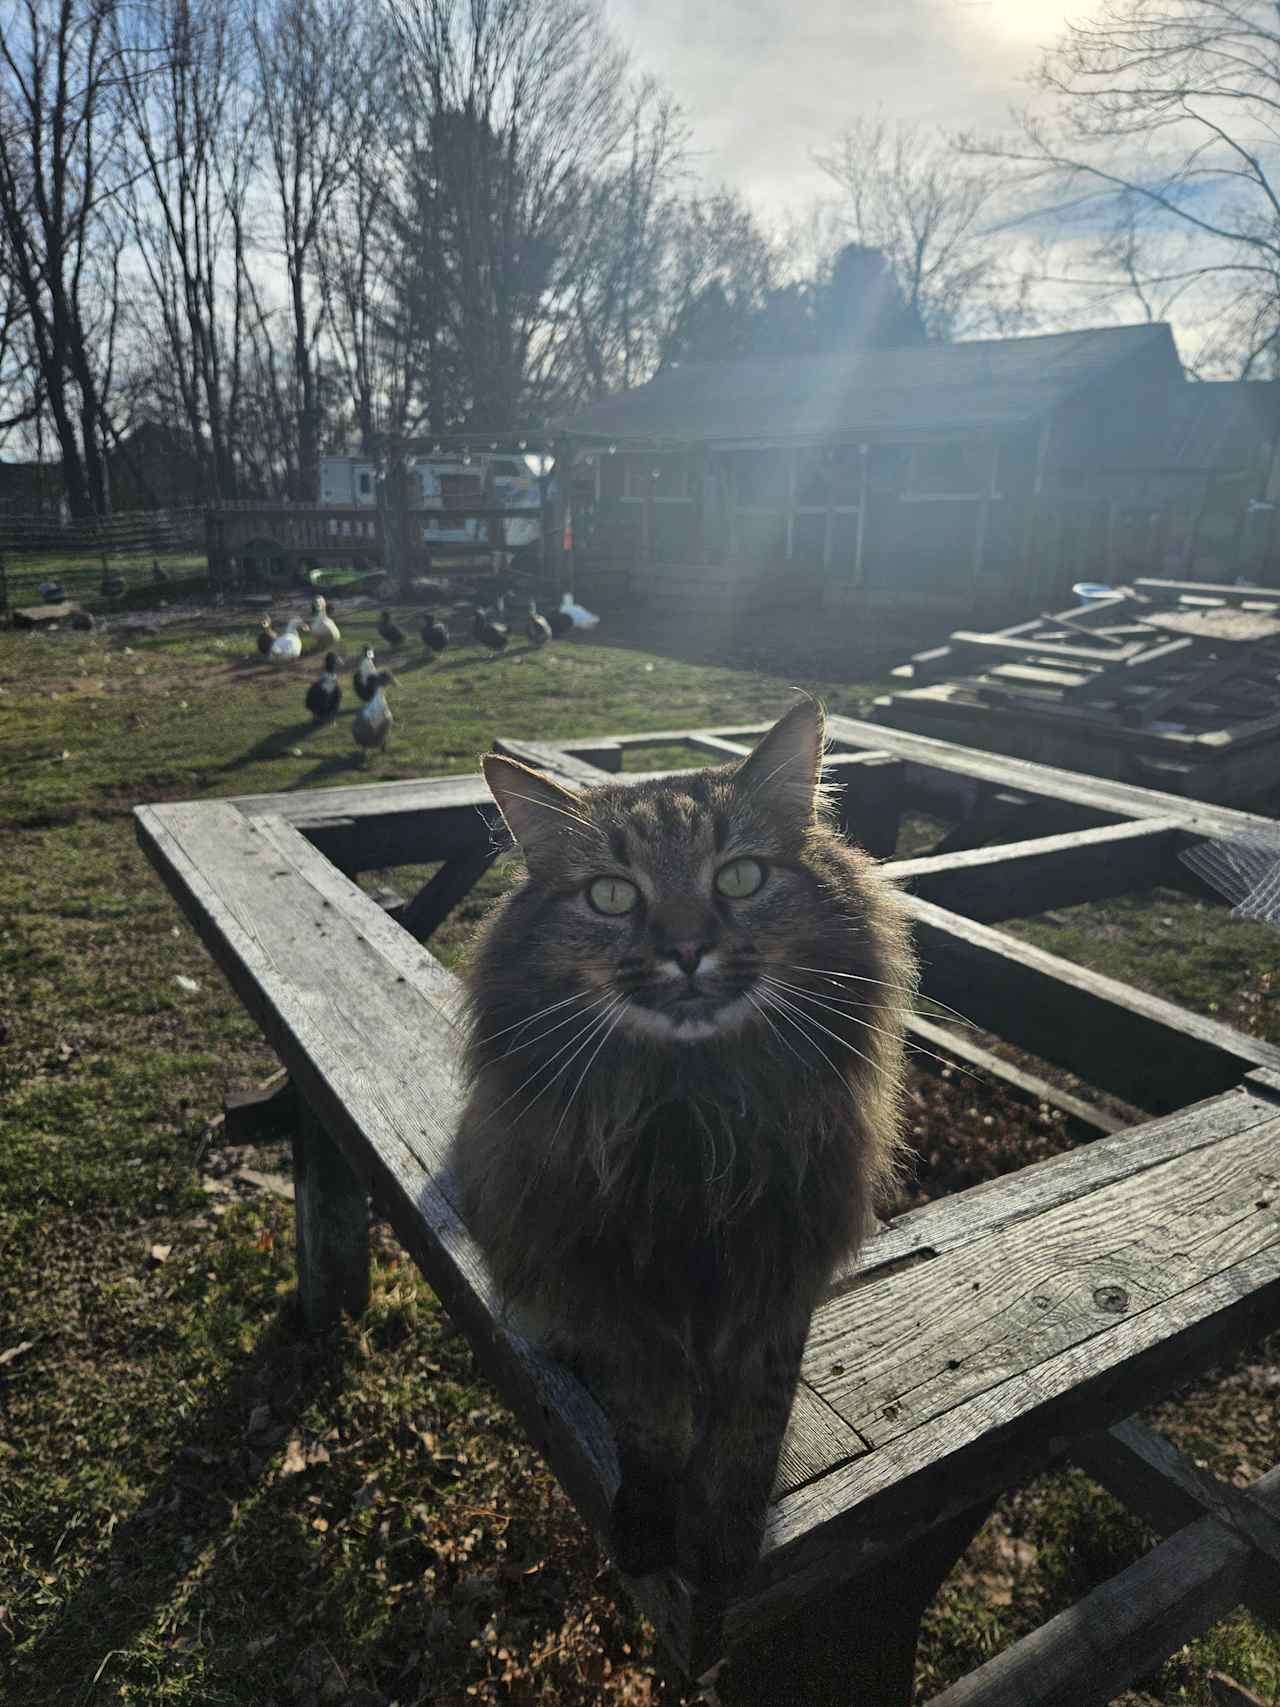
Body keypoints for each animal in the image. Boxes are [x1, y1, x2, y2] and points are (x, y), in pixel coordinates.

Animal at [450, 699, 914, 1590]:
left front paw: (727, 1542)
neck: (695, 1116)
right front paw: (647, 1523)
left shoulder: (779, 1272)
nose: (687, 949)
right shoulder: (616, 1293)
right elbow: (655, 1424)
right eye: (610, 895)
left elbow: (748, 1432)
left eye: (739, 878)